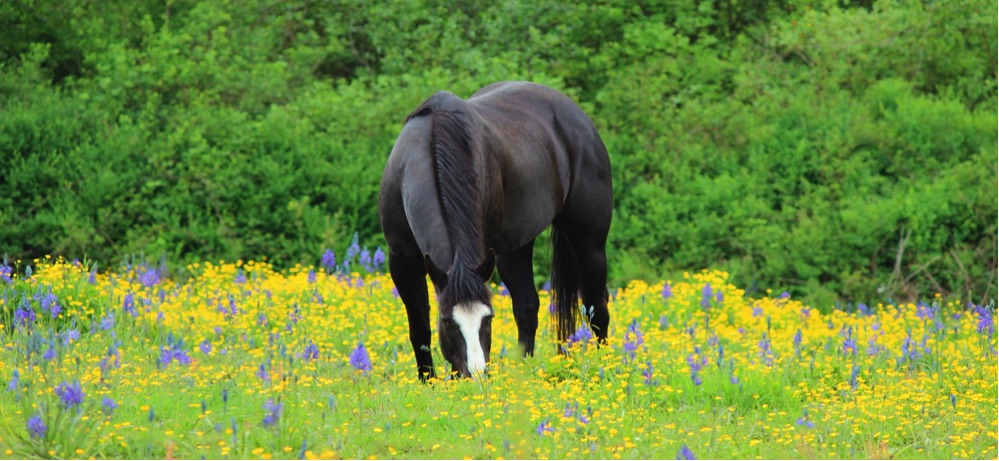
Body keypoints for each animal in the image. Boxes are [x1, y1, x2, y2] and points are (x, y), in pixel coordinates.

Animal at [378, 81, 612, 380]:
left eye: (487, 318)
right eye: (447, 321)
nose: (475, 375)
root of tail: (578, 117)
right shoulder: (401, 263)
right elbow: (419, 330)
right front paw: (428, 381)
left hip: (590, 242)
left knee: (598, 308)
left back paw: (604, 366)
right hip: (514, 249)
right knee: (527, 308)